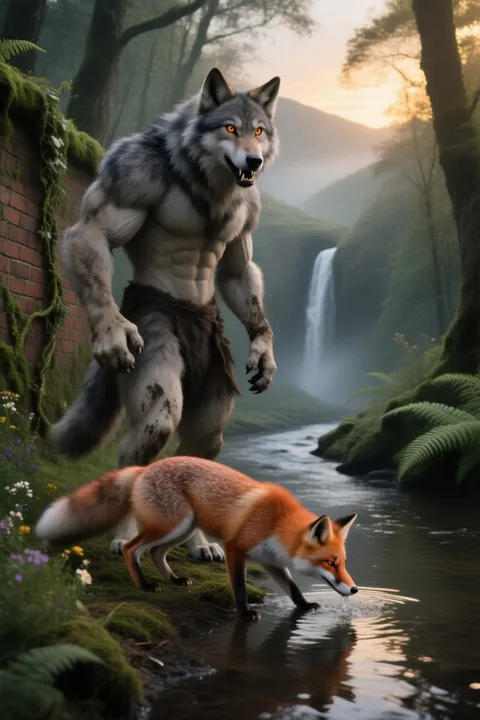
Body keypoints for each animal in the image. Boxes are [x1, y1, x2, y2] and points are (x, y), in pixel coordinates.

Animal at [35, 456, 358, 621]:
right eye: (330, 563)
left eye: (343, 562)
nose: (355, 590)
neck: (276, 523)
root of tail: (145, 467)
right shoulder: (235, 549)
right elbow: (240, 588)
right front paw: (245, 612)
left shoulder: (270, 560)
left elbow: (292, 588)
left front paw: (304, 606)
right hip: (172, 525)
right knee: (131, 547)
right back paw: (144, 584)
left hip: (185, 528)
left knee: (154, 553)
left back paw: (174, 580)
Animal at [48, 68, 281, 562]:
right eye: (229, 127)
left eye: (258, 131)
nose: (253, 161)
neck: (206, 180)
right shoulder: (131, 174)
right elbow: (93, 233)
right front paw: (111, 333)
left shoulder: (244, 231)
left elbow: (238, 270)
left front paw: (264, 352)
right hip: (159, 374)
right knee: (149, 438)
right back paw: (124, 535)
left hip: (212, 400)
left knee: (201, 447)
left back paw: (198, 542)